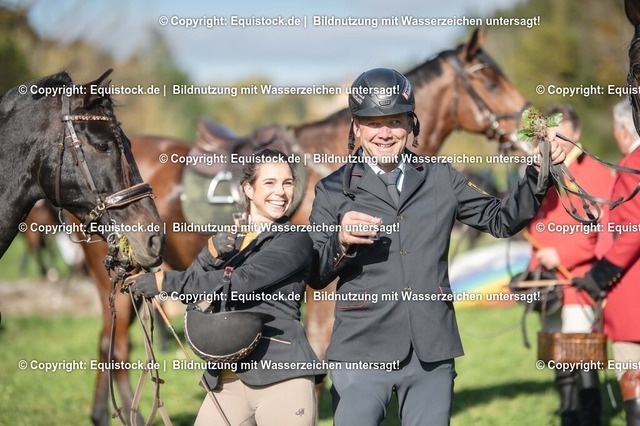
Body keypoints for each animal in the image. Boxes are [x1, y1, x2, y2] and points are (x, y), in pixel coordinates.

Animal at [31, 29, 528, 425]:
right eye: (488, 78)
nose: (527, 129)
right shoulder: (324, 283)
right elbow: (322, 349)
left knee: (111, 345)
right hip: (112, 277)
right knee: (114, 347)